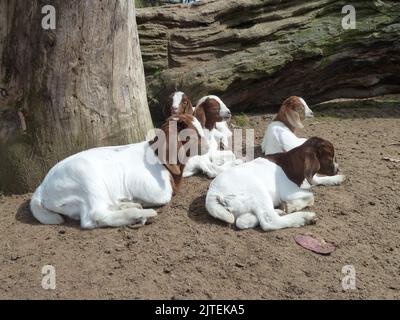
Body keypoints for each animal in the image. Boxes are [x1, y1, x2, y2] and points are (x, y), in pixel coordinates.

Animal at [28, 114, 206, 228]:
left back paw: (128, 205)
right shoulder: (150, 188)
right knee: (95, 216)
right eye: (194, 135)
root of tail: (41, 189)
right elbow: (163, 198)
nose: (209, 145)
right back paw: (140, 214)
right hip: (88, 182)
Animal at [206, 136, 340, 231]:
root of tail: (212, 195)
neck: (290, 163)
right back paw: (305, 217)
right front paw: (290, 206)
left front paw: (337, 179)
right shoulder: (289, 192)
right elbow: (311, 196)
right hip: (258, 192)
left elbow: (315, 181)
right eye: (330, 157)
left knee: (242, 221)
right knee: (270, 222)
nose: (338, 169)